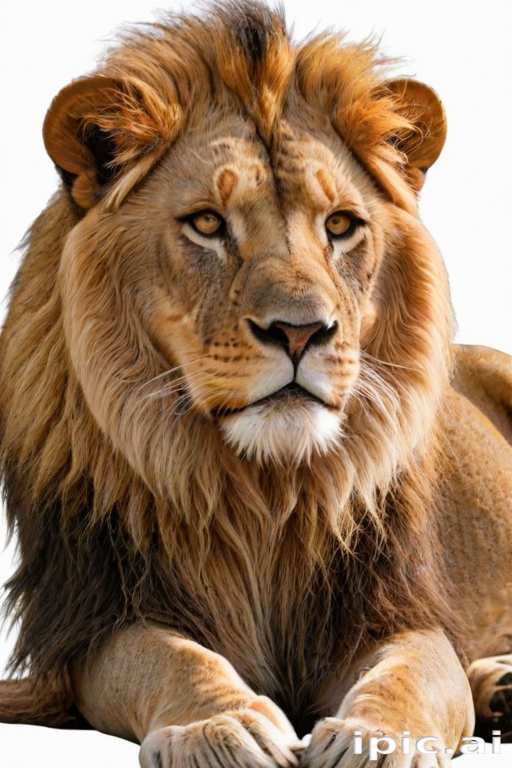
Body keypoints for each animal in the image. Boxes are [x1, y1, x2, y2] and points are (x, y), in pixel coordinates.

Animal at [0, 2, 511, 766]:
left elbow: (411, 674)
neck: (265, 491)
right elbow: (172, 658)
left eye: (341, 225)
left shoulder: (395, 609)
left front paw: (373, 739)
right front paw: (220, 726)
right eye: (208, 223)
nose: (301, 332)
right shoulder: (102, 616)